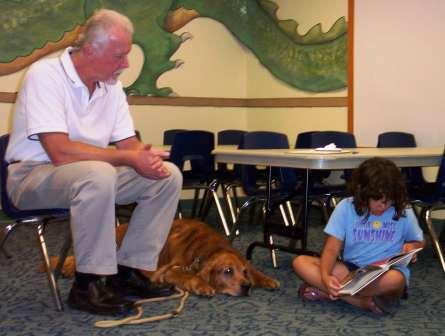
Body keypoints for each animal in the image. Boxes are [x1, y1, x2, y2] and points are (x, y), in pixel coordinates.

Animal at [47, 220, 278, 296]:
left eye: (244, 272)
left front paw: (266, 279)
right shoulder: (169, 270)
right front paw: (201, 285)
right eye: (227, 271)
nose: (246, 286)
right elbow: (189, 277)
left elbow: (256, 270)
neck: (207, 249)